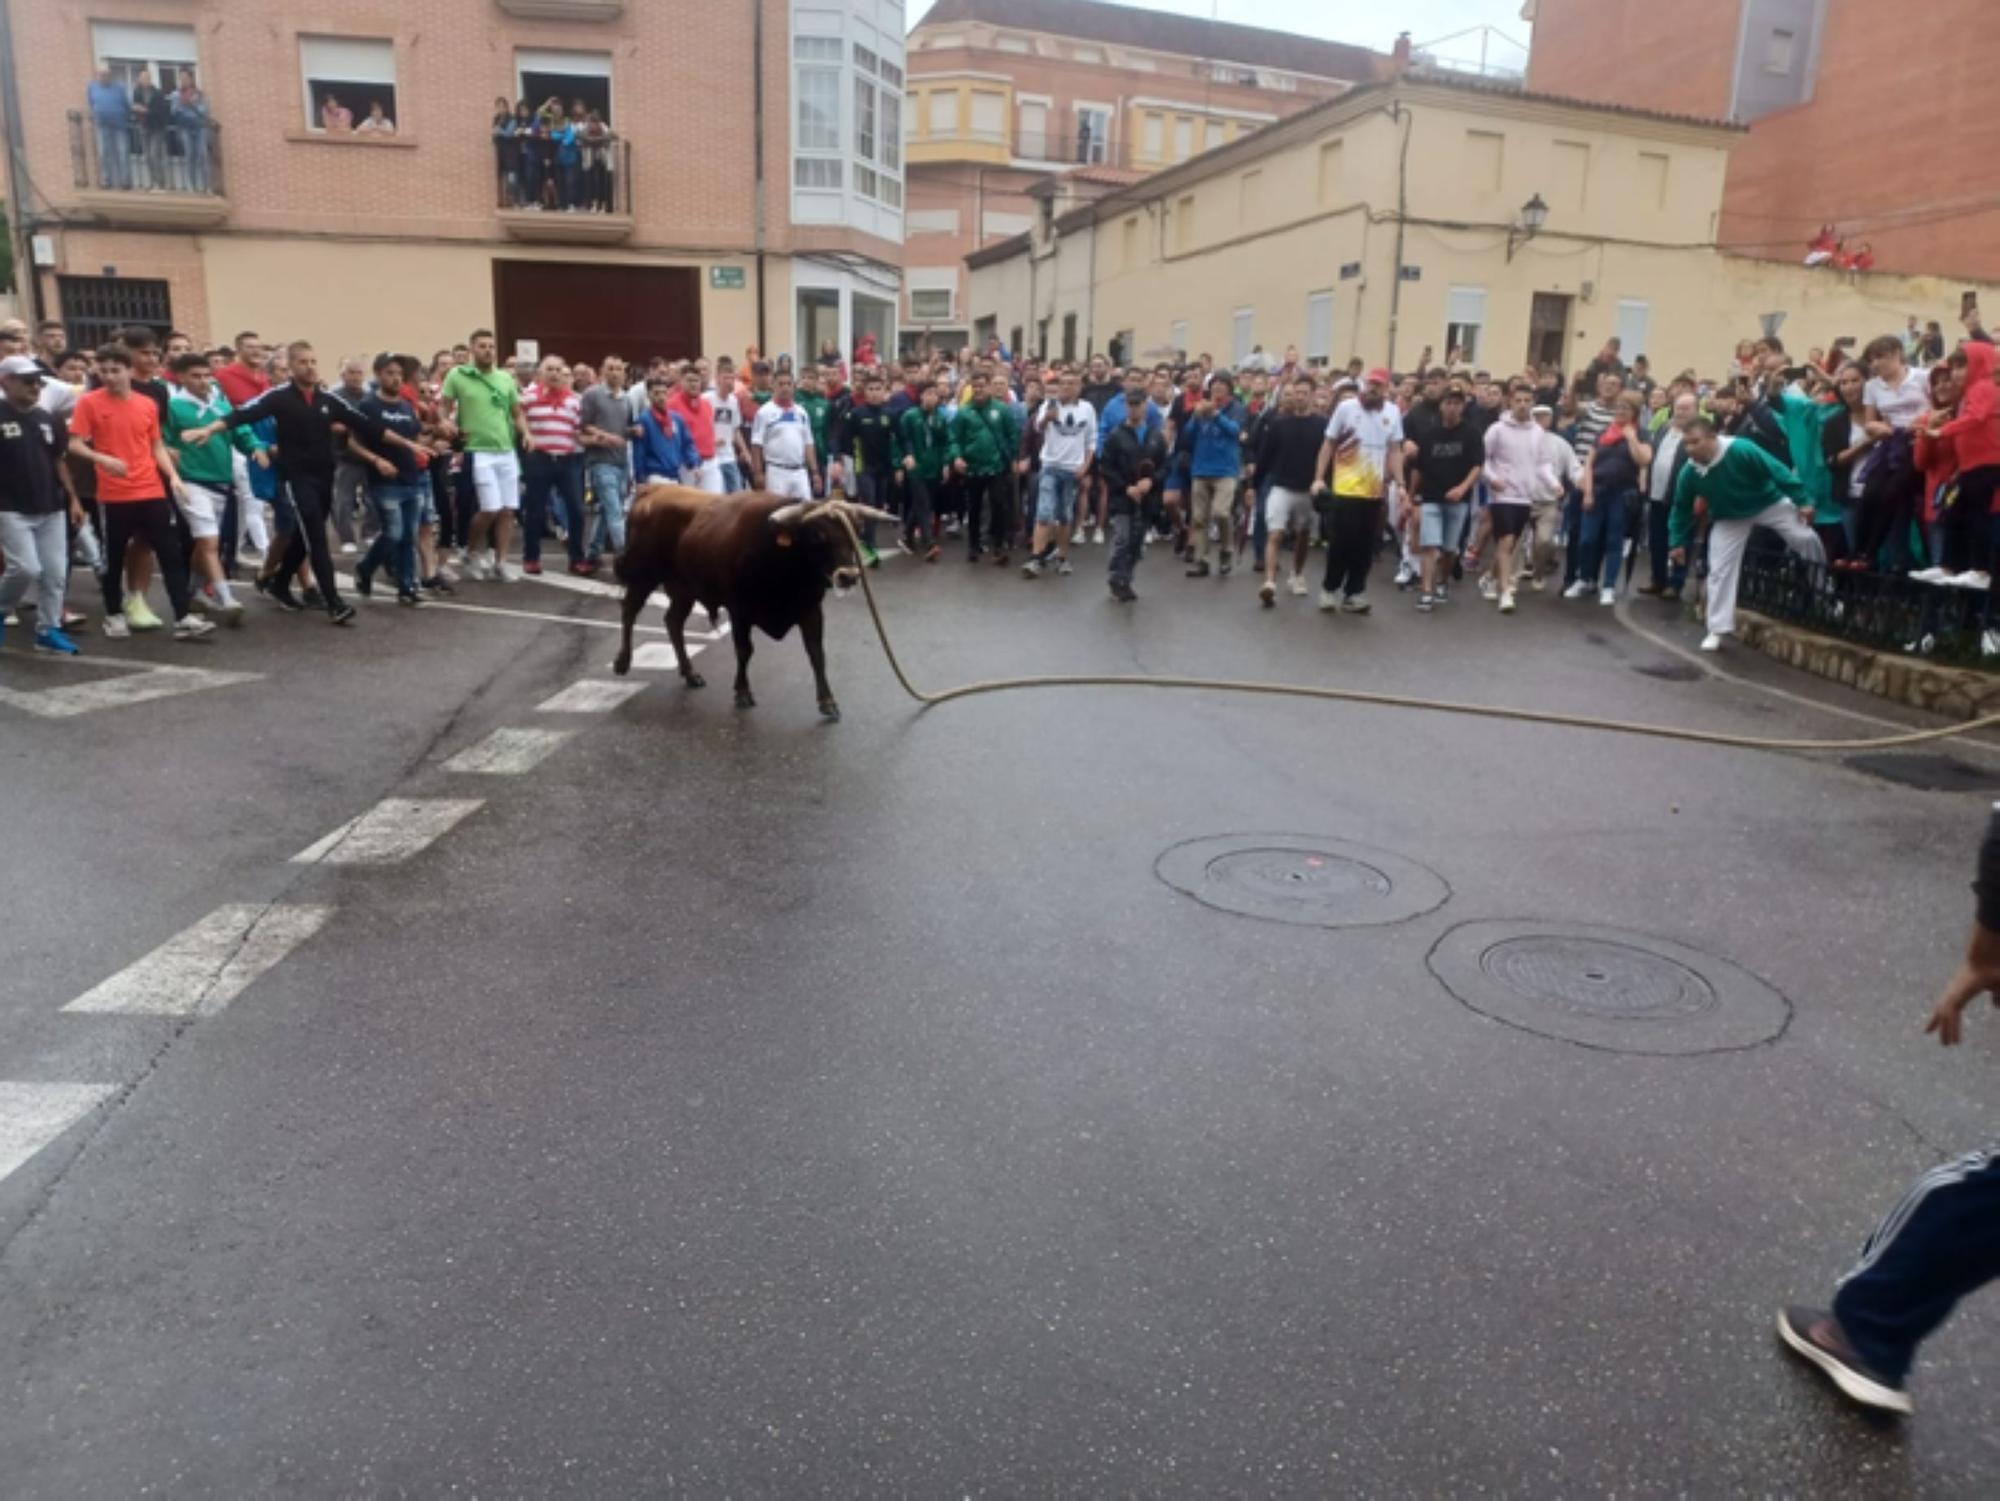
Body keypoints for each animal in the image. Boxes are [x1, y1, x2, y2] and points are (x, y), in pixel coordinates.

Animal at [604, 482, 896, 716]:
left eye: (856, 531)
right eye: (818, 534)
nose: (848, 576)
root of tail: (653, 489)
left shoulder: (810, 610)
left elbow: (816, 653)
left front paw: (827, 700)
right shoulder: (740, 611)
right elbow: (744, 651)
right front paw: (742, 692)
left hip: (683, 588)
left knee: (673, 622)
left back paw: (690, 673)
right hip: (643, 575)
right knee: (629, 611)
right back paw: (623, 661)